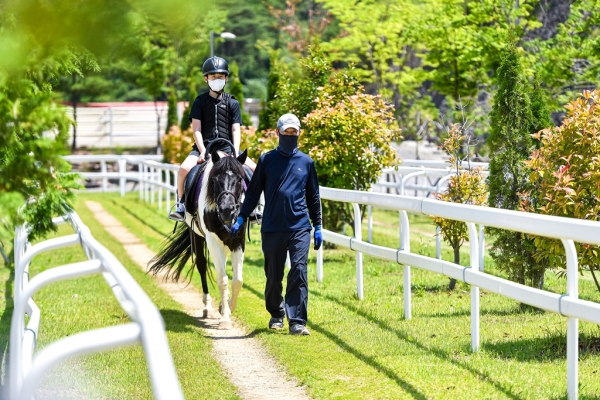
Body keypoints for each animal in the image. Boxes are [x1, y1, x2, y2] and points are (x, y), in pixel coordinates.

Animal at [149, 139, 250, 330]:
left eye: (240, 179)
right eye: (215, 179)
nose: (227, 210)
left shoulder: (238, 240)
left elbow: (238, 280)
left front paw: (227, 307)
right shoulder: (212, 239)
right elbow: (222, 279)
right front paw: (225, 318)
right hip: (197, 235)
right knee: (202, 265)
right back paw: (208, 308)